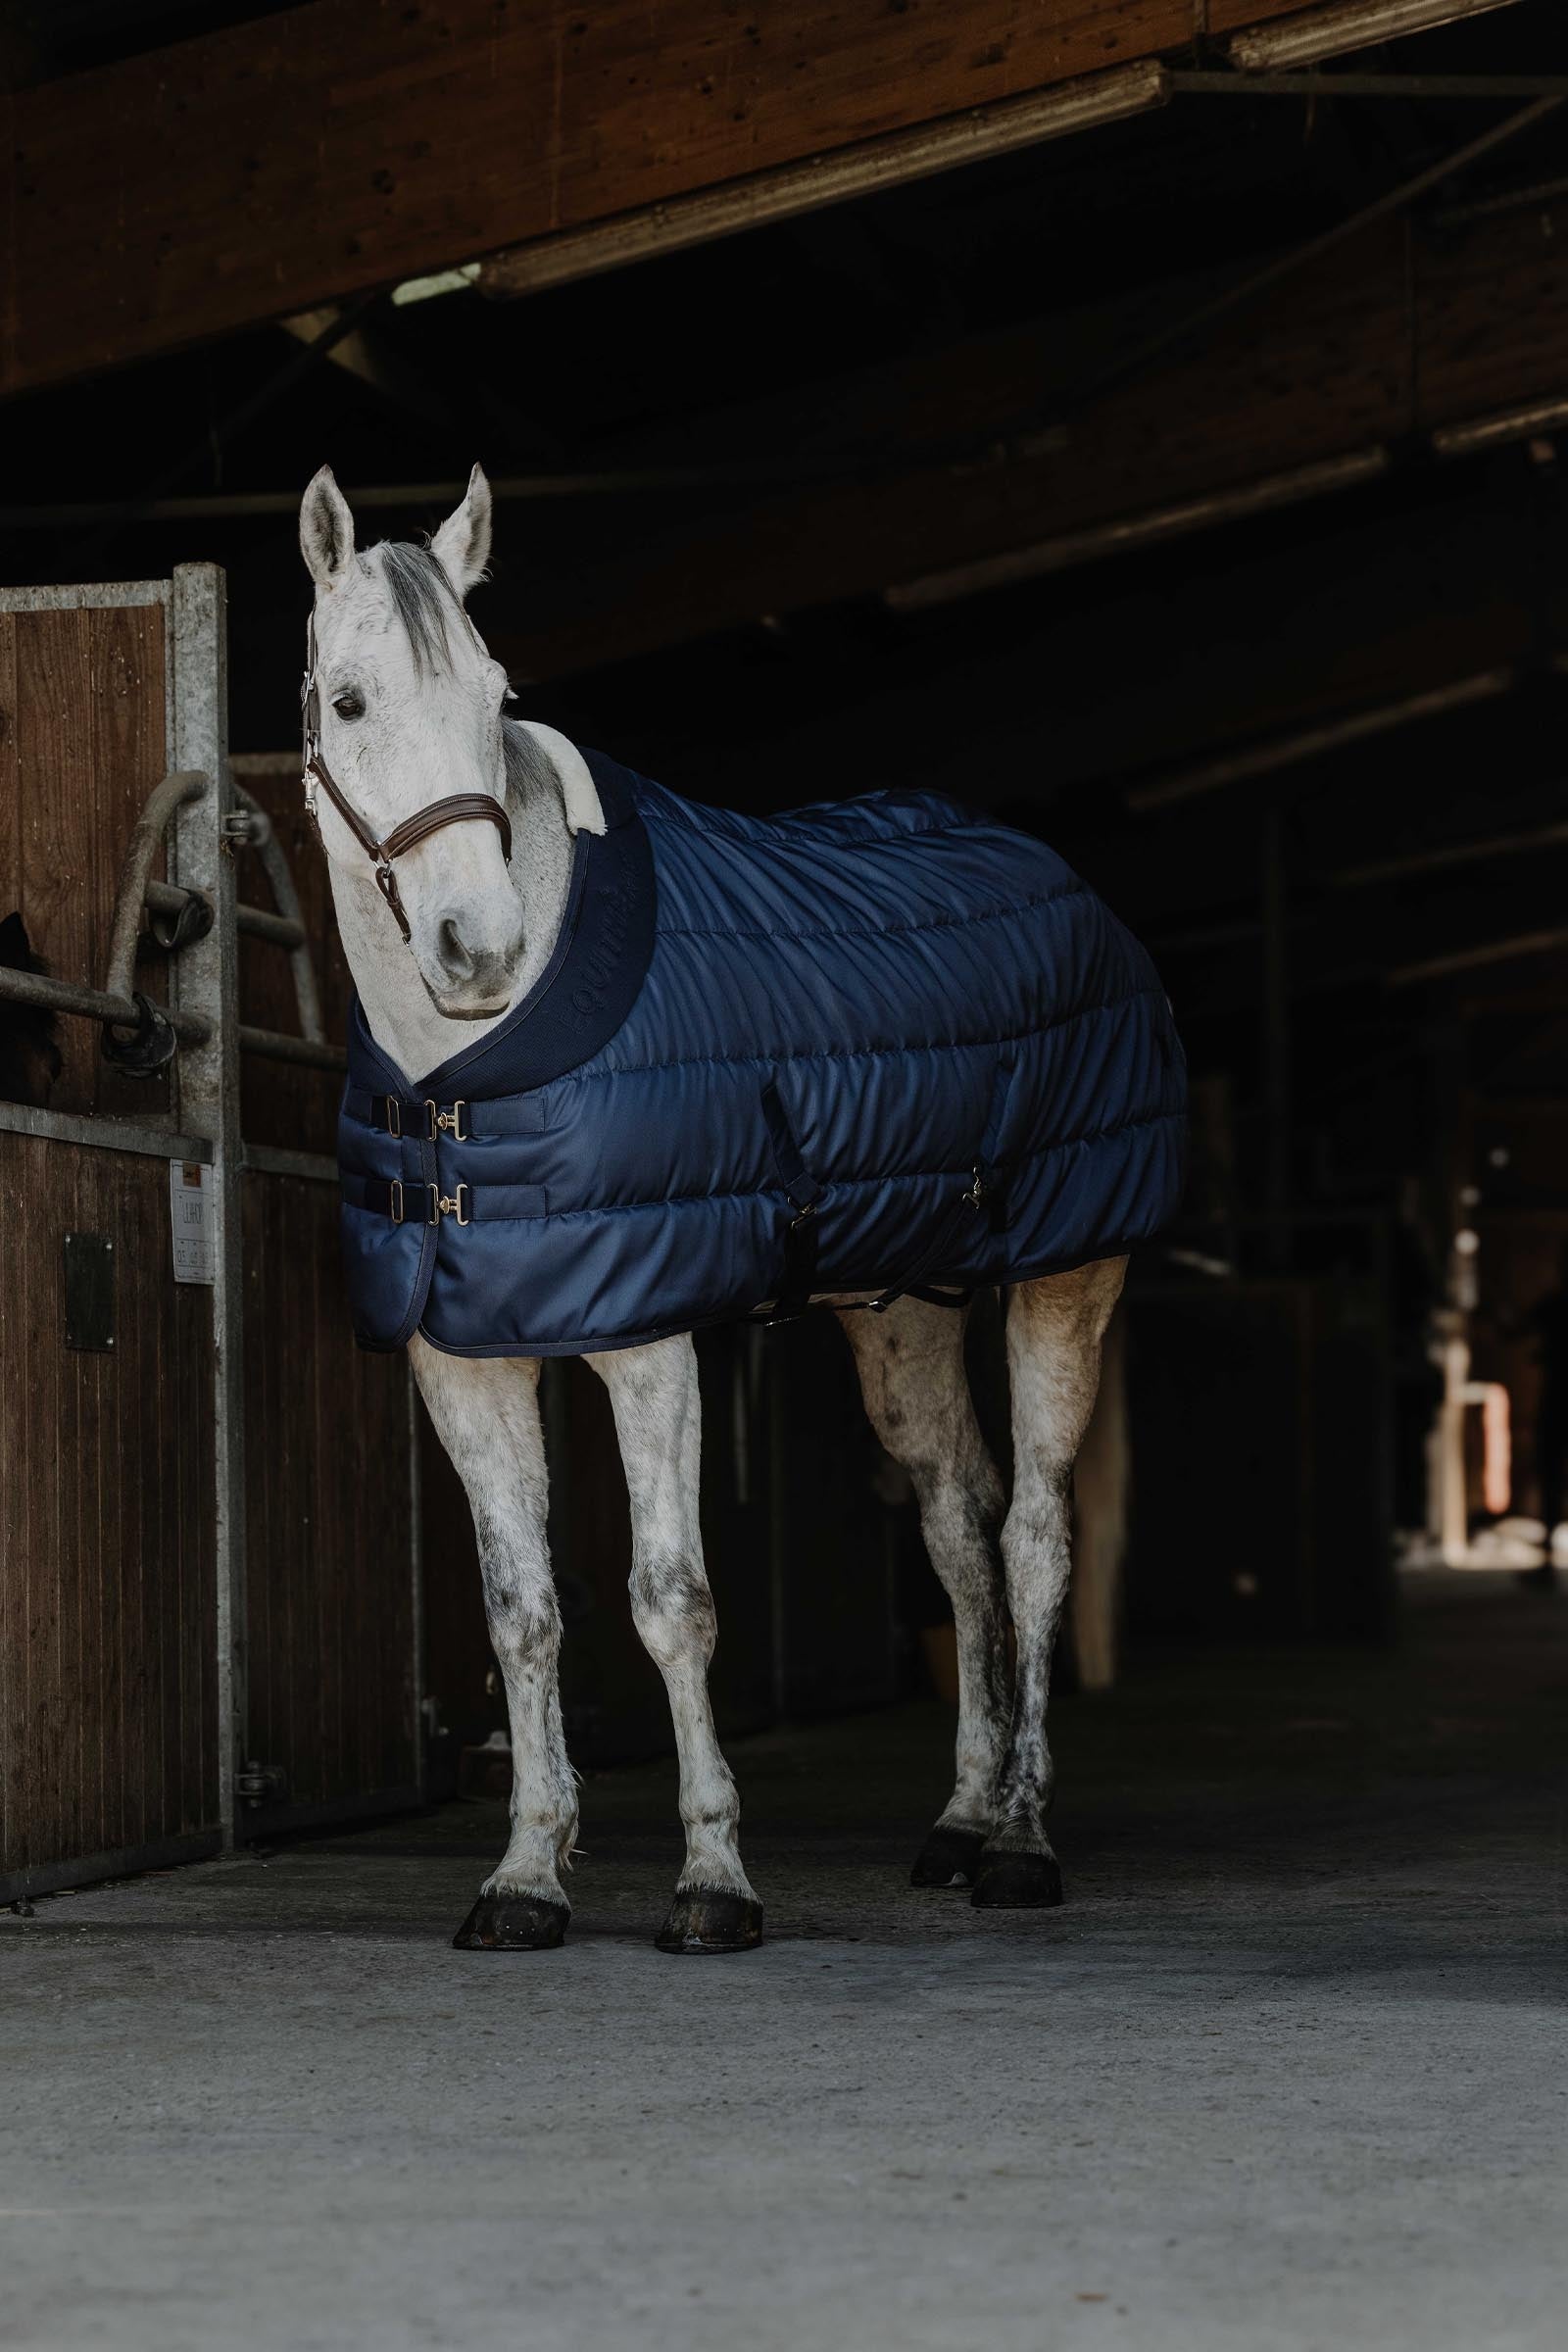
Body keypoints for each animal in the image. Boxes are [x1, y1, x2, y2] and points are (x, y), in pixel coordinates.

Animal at [298, 461, 1172, 1956]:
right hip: (897, 1312)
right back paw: (960, 1821)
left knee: (1035, 1538)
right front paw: (524, 1877)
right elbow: (523, 1610)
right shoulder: (460, 1358)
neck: (467, 1079)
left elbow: (671, 1599)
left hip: (1071, 1276)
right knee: (956, 1529)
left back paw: (1020, 1844)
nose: (479, 949)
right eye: (349, 703)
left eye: (495, 690)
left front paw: (712, 1878)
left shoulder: (647, 1340)